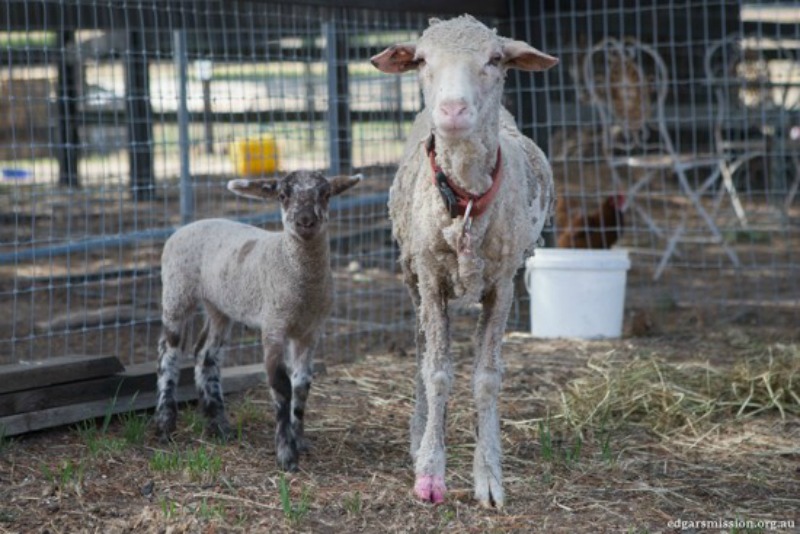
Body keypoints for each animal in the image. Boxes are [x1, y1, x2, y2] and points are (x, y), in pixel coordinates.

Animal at [155, 169, 360, 474]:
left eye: (325, 194)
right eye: (283, 195)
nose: (305, 221)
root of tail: (186, 227)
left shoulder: (310, 331)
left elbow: (302, 386)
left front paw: (299, 440)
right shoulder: (274, 325)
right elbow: (281, 385)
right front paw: (286, 454)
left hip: (219, 304)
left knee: (205, 353)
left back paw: (218, 424)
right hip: (176, 291)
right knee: (168, 352)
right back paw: (165, 423)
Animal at [374, 15, 556, 510]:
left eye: (495, 59)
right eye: (421, 60)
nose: (453, 110)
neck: (465, 202)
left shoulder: (503, 285)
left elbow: (487, 378)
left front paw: (489, 477)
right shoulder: (431, 278)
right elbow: (437, 372)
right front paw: (430, 473)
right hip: (411, 275)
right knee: (421, 350)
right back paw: (419, 434)